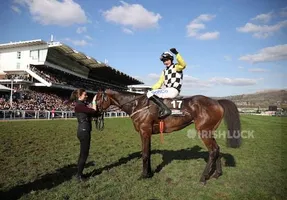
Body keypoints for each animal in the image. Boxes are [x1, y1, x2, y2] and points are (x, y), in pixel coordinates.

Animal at [95, 89, 242, 184]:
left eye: (97, 99)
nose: (95, 113)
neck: (138, 105)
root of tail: (217, 102)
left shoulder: (144, 131)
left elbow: (145, 154)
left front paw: (144, 175)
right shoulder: (147, 133)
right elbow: (148, 152)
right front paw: (149, 173)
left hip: (204, 131)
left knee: (212, 151)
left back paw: (203, 177)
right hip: (210, 131)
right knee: (217, 149)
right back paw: (216, 174)